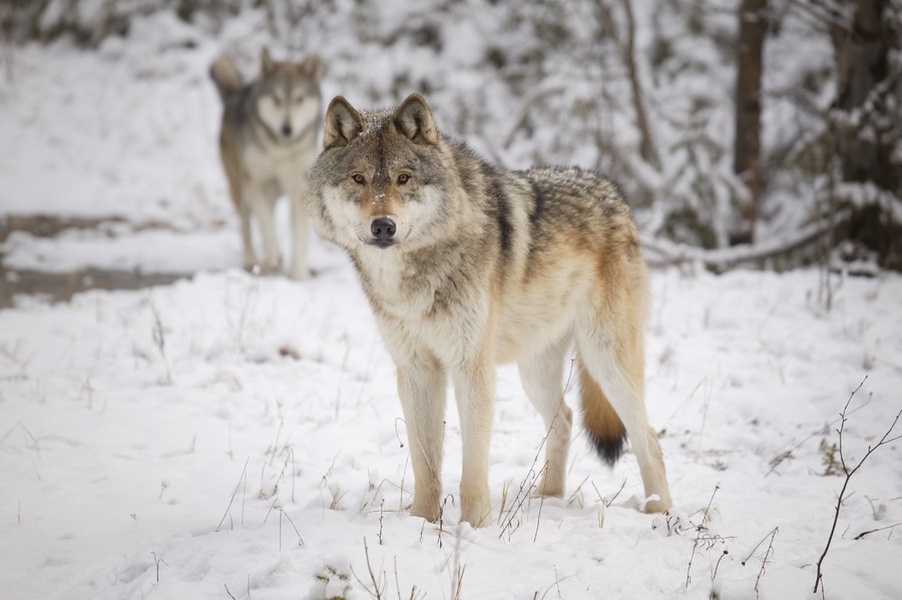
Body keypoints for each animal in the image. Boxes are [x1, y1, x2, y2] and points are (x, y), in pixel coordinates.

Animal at [210, 48, 326, 280]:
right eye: (276, 99)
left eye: (299, 99)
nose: (287, 129)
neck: (280, 149)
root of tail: (235, 93)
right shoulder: (253, 182)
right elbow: (265, 224)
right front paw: (272, 258)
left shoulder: (299, 189)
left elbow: (298, 235)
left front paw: (299, 274)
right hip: (240, 188)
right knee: (247, 223)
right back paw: (253, 260)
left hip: (273, 191)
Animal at [308, 91, 676, 528]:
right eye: (359, 179)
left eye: (403, 178)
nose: (383, 226)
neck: (415, 276)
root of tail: (611, 189)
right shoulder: (416, 370)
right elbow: (425, 465)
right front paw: (422, 521)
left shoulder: (471, 368)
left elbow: (471, 466)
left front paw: (475, 527)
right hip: (535, 372)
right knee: (566, 419)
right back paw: (548, 498)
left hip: (607, 362)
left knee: (648, 436)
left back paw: (659, 509)